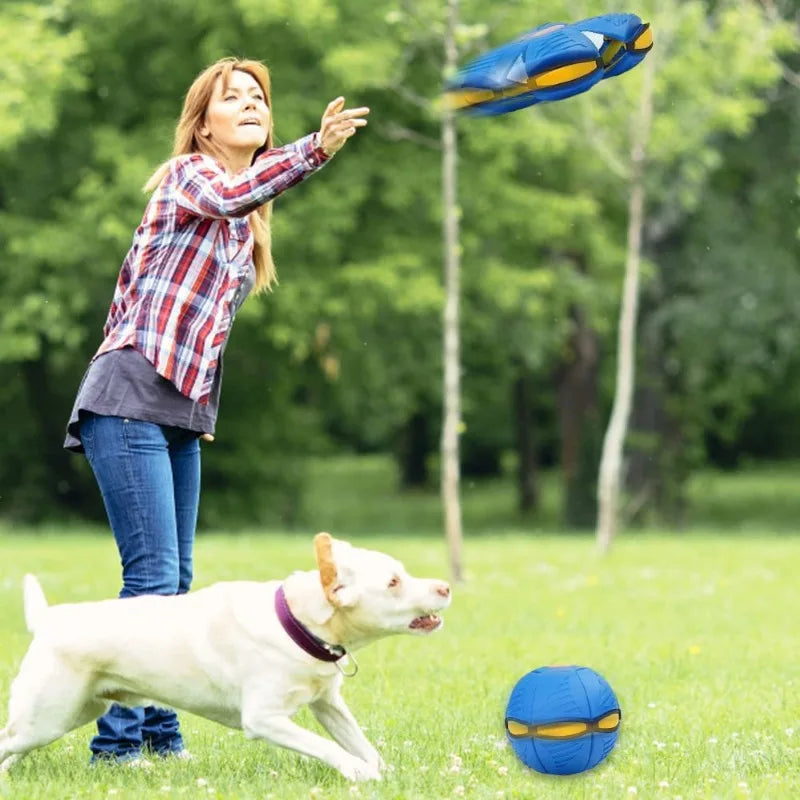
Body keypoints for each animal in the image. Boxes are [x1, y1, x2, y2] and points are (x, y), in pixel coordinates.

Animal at [0, 532, 450, 780]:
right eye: (393, 583)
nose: (446, 587)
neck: (297, 623)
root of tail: (48, 620)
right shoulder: (264, 718)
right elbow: (328, 747)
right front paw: (358, 774)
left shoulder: (329, 705)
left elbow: (362, 744)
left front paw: (387, 774)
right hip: (49, 714)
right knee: (8, 740)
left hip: (69, 713)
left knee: (12, 745)